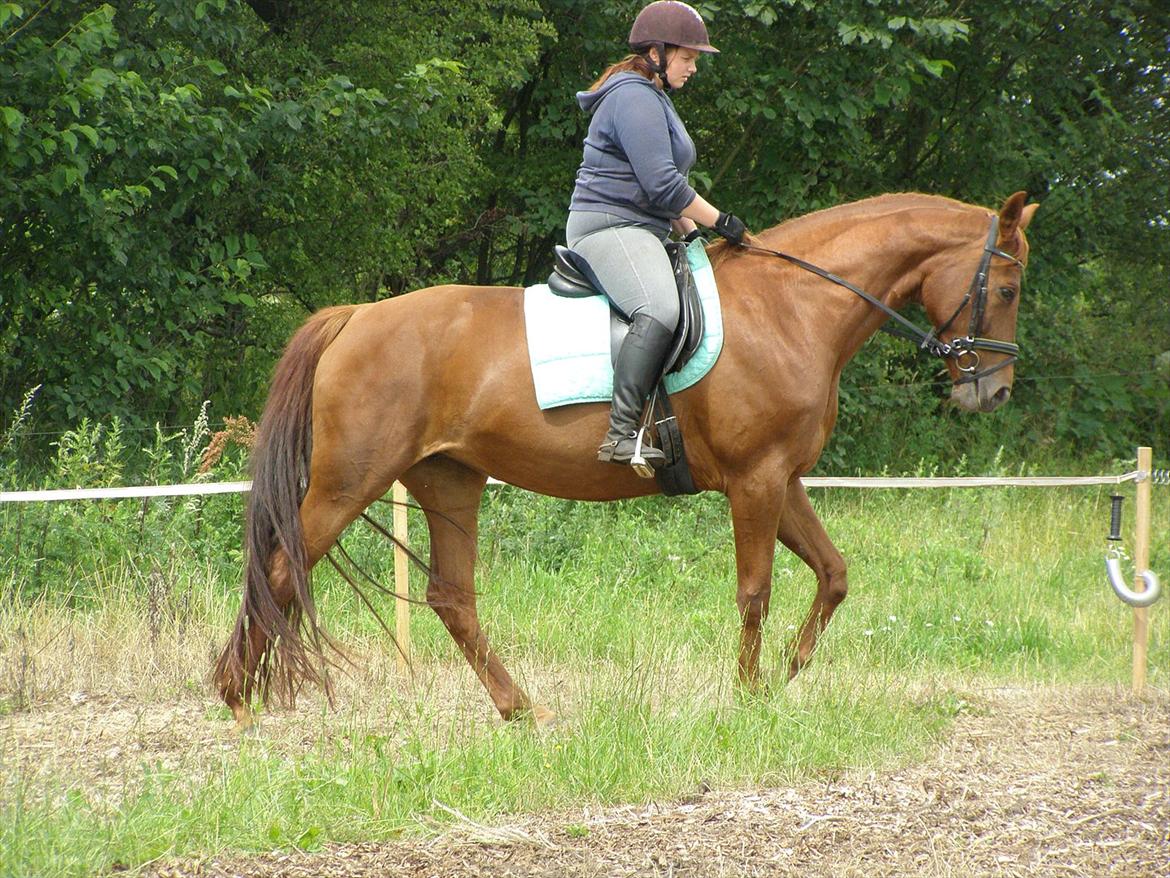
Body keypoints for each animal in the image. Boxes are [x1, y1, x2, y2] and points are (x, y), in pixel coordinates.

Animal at [215, 190, 1038, 730]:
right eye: (1005, 286)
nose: (992, 392)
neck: (792, 306)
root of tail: (354, 317)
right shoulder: (756, 481)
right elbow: (755, 592)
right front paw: (747, 697)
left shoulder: (782, 478)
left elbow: (833, 575)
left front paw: (786, 675)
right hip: (349, 481)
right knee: (283, 568)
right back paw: (237, 699)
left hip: (448, 479)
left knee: (451, 599)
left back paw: (521, 710)